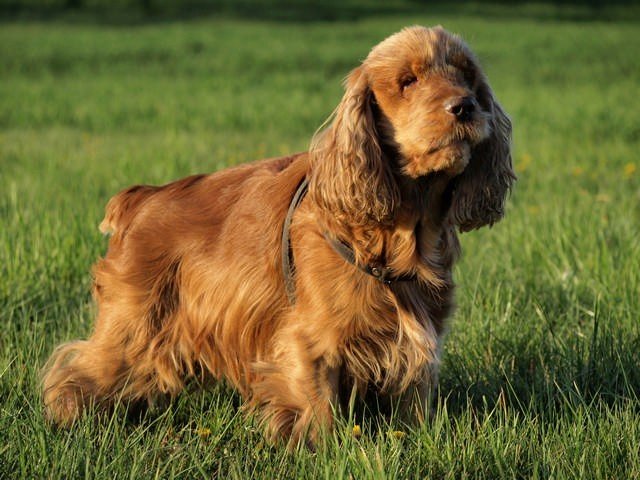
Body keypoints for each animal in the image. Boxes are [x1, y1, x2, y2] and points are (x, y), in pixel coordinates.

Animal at [41, 25, 516, 446]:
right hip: (134, 323)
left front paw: (416, 438)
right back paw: (69, 420)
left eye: (467, 77)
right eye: (408, 81)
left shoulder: (417, 340)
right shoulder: (312, 341)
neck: (403, 230)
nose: (465, 106)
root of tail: (143, 197)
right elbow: (318, 409)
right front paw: (322, 452)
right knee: (78, 371)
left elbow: (413, 405)